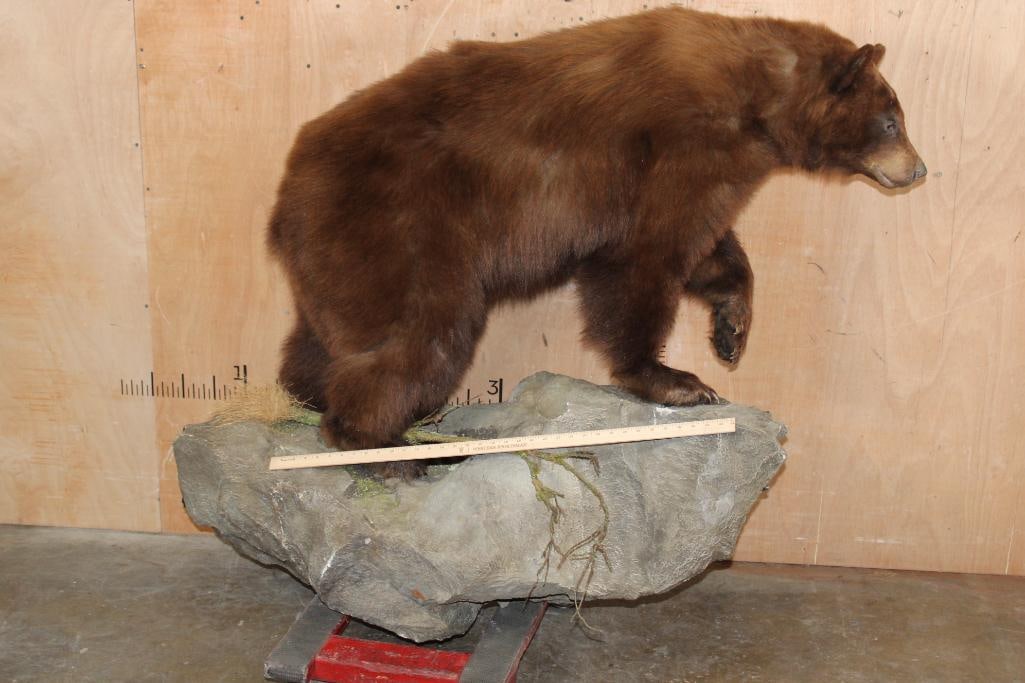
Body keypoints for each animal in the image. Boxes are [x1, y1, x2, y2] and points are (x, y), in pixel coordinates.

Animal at [268, 7, 925, 479]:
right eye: (892, 119)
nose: (919, 170)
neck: (754, 101)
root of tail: (286, 193)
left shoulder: (714, 170)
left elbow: (709, 247)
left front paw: (731, 330)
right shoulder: (680, 148)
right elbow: (646, 257)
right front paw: (676, 380)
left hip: (340, 255)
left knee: (329, 340)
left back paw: (316, 398)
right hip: (401, 229)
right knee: (417, 336)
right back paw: (389, 449)